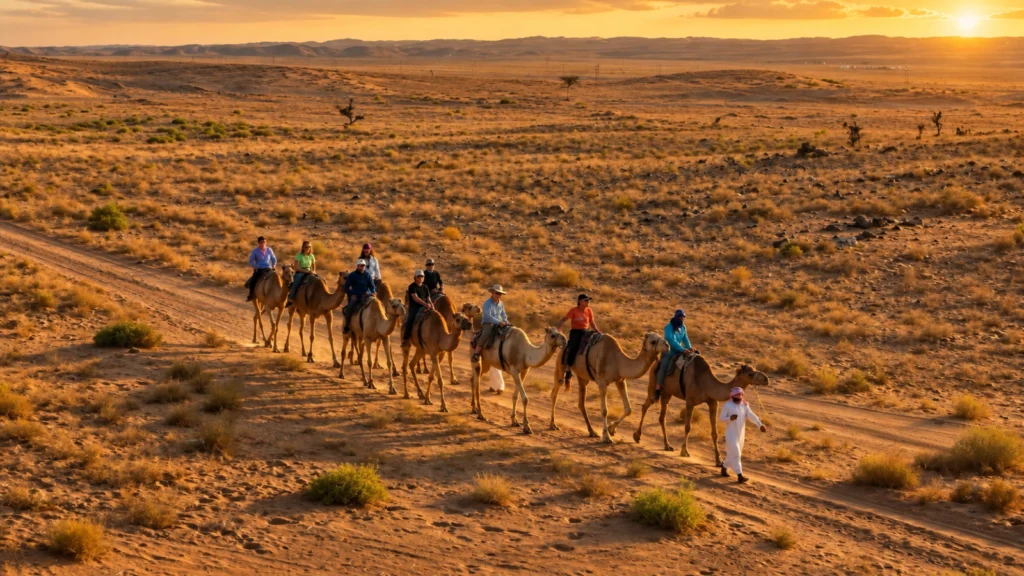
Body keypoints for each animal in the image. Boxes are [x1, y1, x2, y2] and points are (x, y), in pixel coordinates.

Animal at [632, 355, 769, 466]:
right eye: (750, 374)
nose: (766, 379)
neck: (706, 383)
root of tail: (656, 363)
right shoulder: (690, 401)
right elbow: (688, 427)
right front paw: (684, 451)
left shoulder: (713, 402)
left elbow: (714, 433)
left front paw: (718, 460)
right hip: (653, 384)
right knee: (645, 406)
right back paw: (637, 436)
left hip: (667, 393)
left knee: (662, 417)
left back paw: (667, 445)